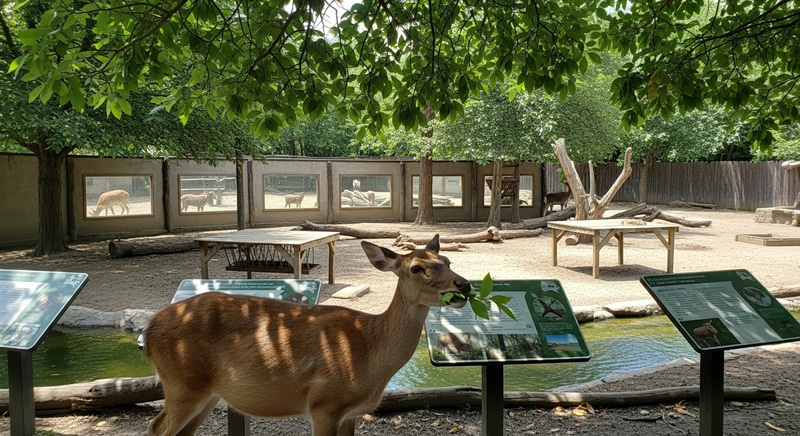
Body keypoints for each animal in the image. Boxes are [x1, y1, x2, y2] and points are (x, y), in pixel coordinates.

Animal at [142, 234, 471, 436]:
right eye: (416, 268)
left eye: (448, 261)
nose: (464, 284)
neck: (367, 352)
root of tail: (149, 328)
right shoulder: (323, 404)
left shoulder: (351, 412)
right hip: (182, 384)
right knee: (155, 428)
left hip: (206, 393)